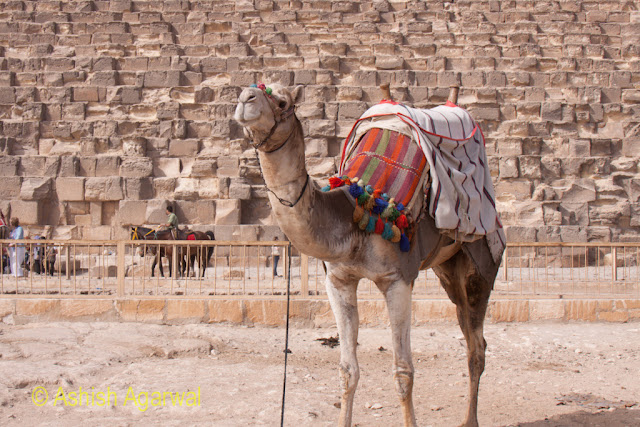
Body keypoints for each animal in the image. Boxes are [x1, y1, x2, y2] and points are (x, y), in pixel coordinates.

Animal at [232, 84, 502, 427]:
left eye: (282, 102)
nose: (246, 98)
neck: (354, 215)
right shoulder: (338, 280)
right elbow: (348, 370)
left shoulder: (398, 279)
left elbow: (403, 372)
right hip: (447, 267)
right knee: (469, 331)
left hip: (482, 257)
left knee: (476, 345)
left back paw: (470, 421)